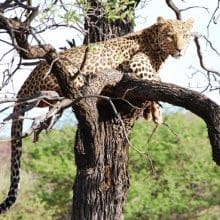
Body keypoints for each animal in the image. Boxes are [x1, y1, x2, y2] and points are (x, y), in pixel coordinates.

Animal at [0, 16, 193, 212]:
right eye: (170, 35)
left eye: (185, 35)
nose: (180, 49)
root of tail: (26, 82)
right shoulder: (137, 63)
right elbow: (154, 78)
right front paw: (156, 111)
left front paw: (150, 110)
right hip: (72, 76)